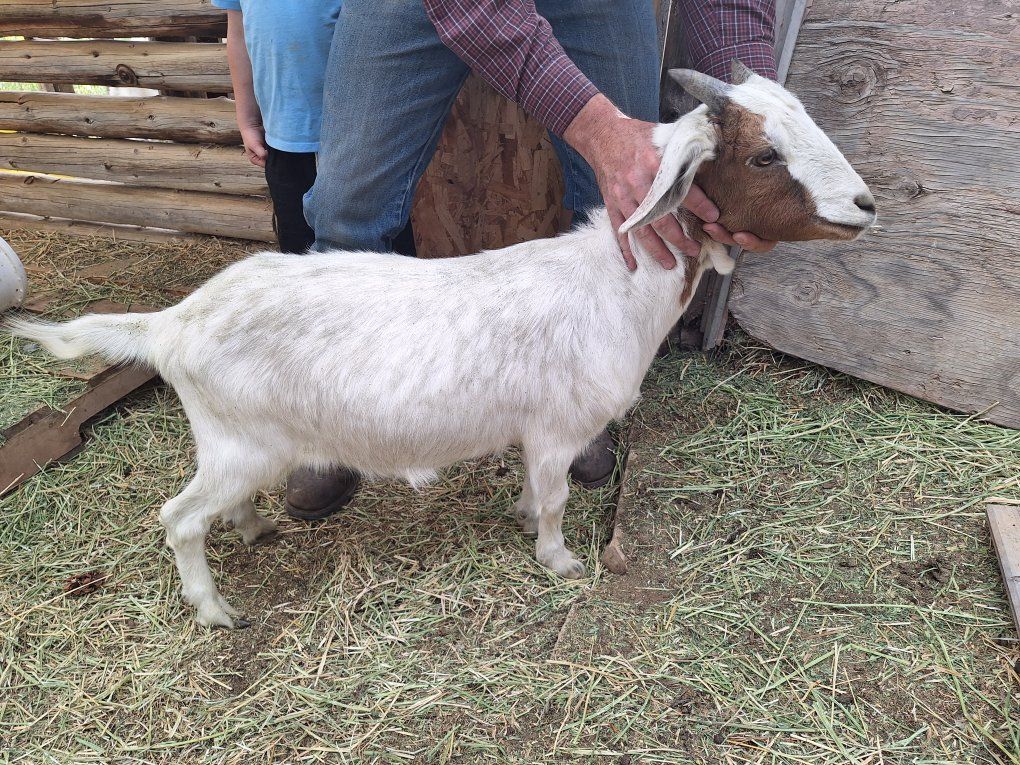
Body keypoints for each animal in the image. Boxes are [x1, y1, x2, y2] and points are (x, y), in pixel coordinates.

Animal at [5, 63, 876, 628]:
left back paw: (252, 531)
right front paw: (559, 561)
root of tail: (172, 323)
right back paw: (216, 608)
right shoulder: (558, 428)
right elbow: (557, 499)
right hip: (237, 443)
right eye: (764, 154)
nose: (866, 205)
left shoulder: (537, 433)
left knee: (221, 504)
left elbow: (534, 488)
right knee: (179, 518)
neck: (616, 279)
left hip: (242, 446)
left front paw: (524, 521)